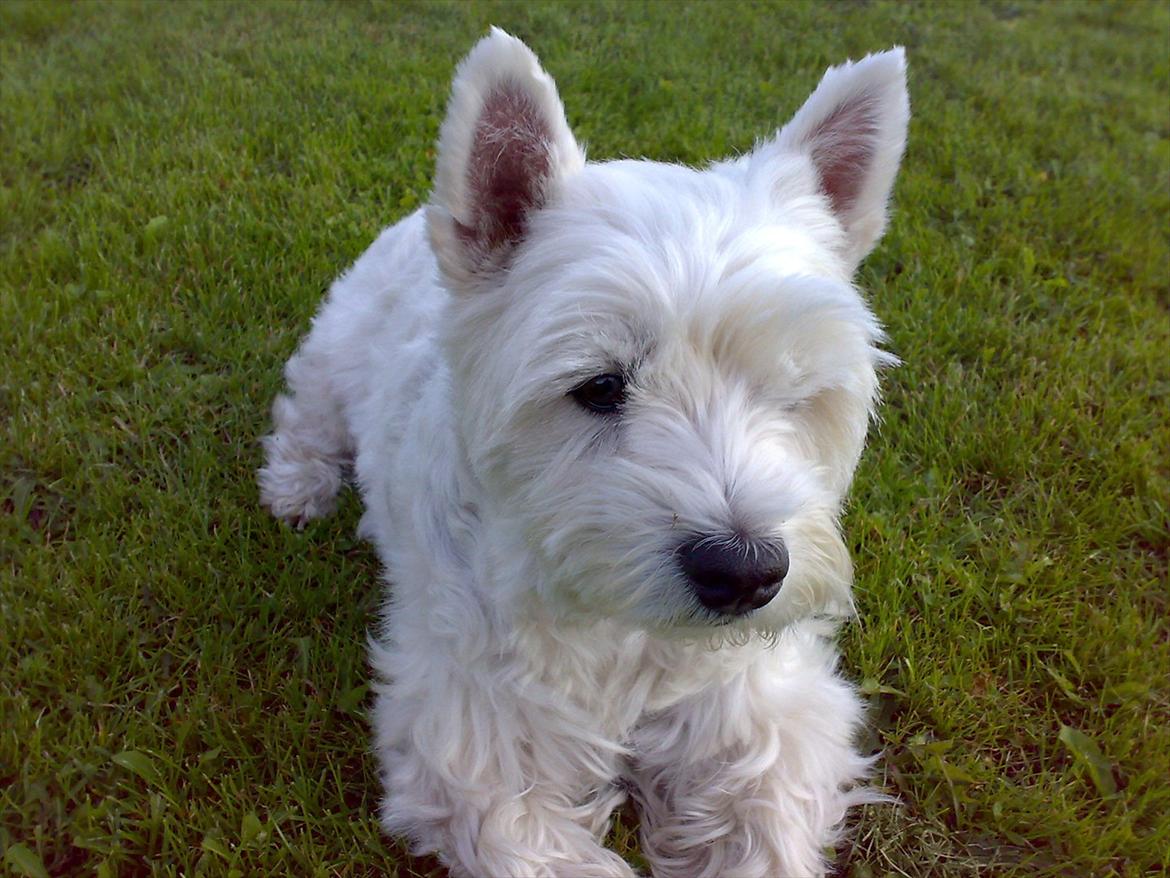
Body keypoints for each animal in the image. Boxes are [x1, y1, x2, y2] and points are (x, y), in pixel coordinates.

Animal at [260, 27, 907, 878]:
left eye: (791, 391)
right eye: (600, 386)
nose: (744, 574)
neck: (624, 633)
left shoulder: (767, 717)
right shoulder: (477, 739)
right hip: (335, 348)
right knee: (306, 411)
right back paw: (297, 488)